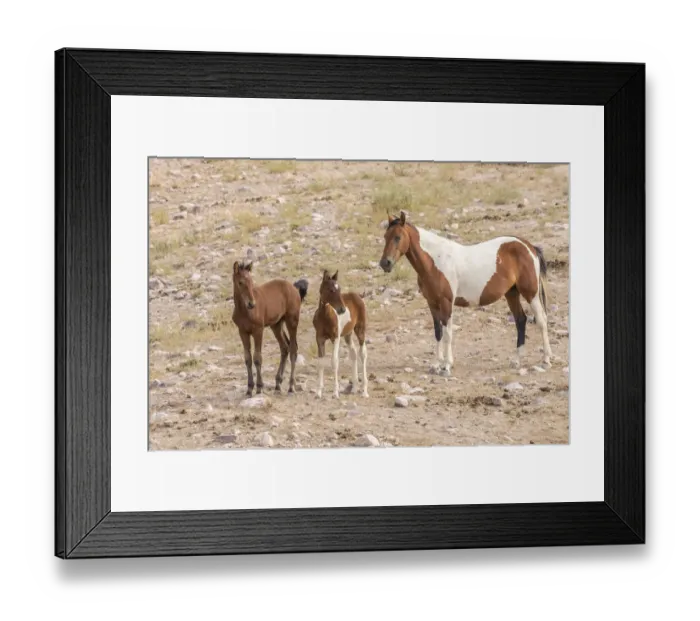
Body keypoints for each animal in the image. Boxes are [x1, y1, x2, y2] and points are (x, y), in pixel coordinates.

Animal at [231, 260, 308, 397]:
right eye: (240, 282)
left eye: (251, 281)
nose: (252, 303)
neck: (244, 311)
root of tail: (294, 288)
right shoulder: (243, 331)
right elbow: (247, 358)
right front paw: (249, 388)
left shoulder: (258, 330)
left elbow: (257, 358)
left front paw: (259, 387)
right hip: (276, 325)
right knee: (285, 347)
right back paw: (278, 383)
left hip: (292, 321)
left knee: (293, 348)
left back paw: (291, 386)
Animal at [312, 270, 369, 399]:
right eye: (331, 290)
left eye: (340, 289)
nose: (342, 309)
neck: (325, 316)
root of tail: (358, 296)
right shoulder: (319, 339)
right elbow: (320, 362)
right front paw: (318, 392)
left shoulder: (335, 338)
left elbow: (334, 361)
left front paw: (335, 392)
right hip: (348, 334)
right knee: (353, 353)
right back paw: (354, 388)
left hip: (360, 329)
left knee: (362, 353)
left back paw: (364, 391)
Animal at [379, 210, 552, 375]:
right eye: (385, 236)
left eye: (398, 237)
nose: (385, 263)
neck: (436, 261)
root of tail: (529, 247)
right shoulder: (432, 303)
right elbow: (438, 332)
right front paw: (436, 365)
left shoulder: (446, 302)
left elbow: (447, 333)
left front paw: (447, 366)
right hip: (512, 293)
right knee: (520, 320)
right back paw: (516, 360)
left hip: (531, 293)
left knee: (541, 320)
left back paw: (546, 360)